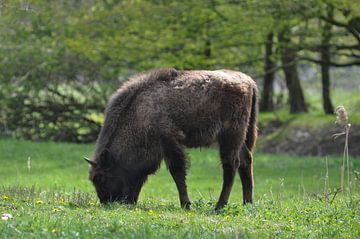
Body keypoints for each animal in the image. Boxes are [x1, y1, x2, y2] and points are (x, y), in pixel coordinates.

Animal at [85, 68, 258, 210]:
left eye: (101, 178)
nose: (107, 202)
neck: (140, 111)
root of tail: (249, 81)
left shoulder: (169, 143)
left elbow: (177, 172)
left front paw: (186, 204)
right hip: (239, 138)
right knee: (246, 160)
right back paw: (247, 203)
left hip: (230, 136)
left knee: (231, 164)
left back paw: (220, 206)